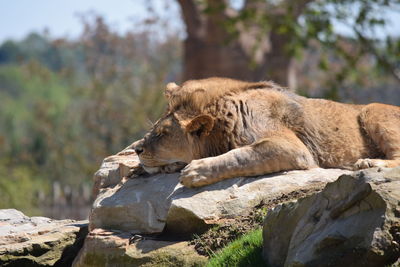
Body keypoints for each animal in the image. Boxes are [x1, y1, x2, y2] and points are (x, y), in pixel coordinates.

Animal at [134, 77, 400, 188]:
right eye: (153, 130)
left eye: (162, 134)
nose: (137, 149)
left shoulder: (294, 148)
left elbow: (241, 155)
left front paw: (196, 171)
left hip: (373, 110)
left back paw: (368, 162)